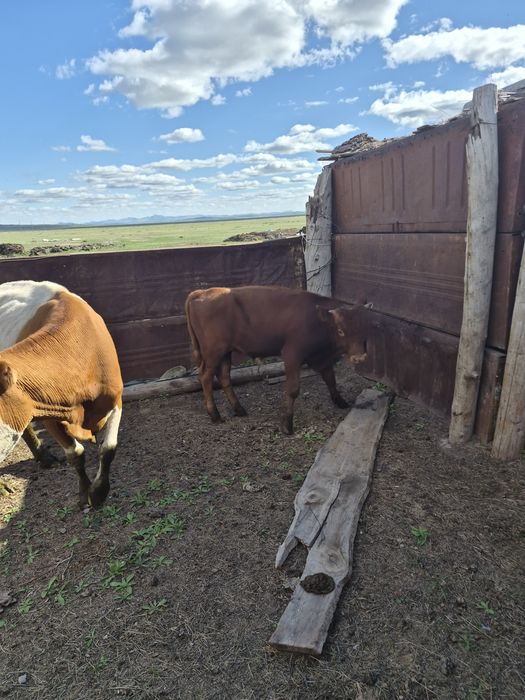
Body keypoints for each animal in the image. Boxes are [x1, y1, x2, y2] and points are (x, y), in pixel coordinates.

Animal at [0, 280, 123, 508]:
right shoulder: (45, 411)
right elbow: (75, 453)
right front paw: (86, 493)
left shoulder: (115, 398)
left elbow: (109, 448)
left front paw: (99, 492)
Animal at [185, 285, 369, 434]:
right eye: (340, 331)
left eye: (363, 328)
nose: (359, 357)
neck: (316, 320)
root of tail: (203, 292)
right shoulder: (292, 354)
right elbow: (293, 389)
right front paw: (287, 424)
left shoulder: (322, 358)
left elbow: (331, 380)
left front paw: (340, 401)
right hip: (213, 352)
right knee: (206, 377)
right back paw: (214, 414)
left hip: (225, 352)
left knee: (224, 377)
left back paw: (239, 409)